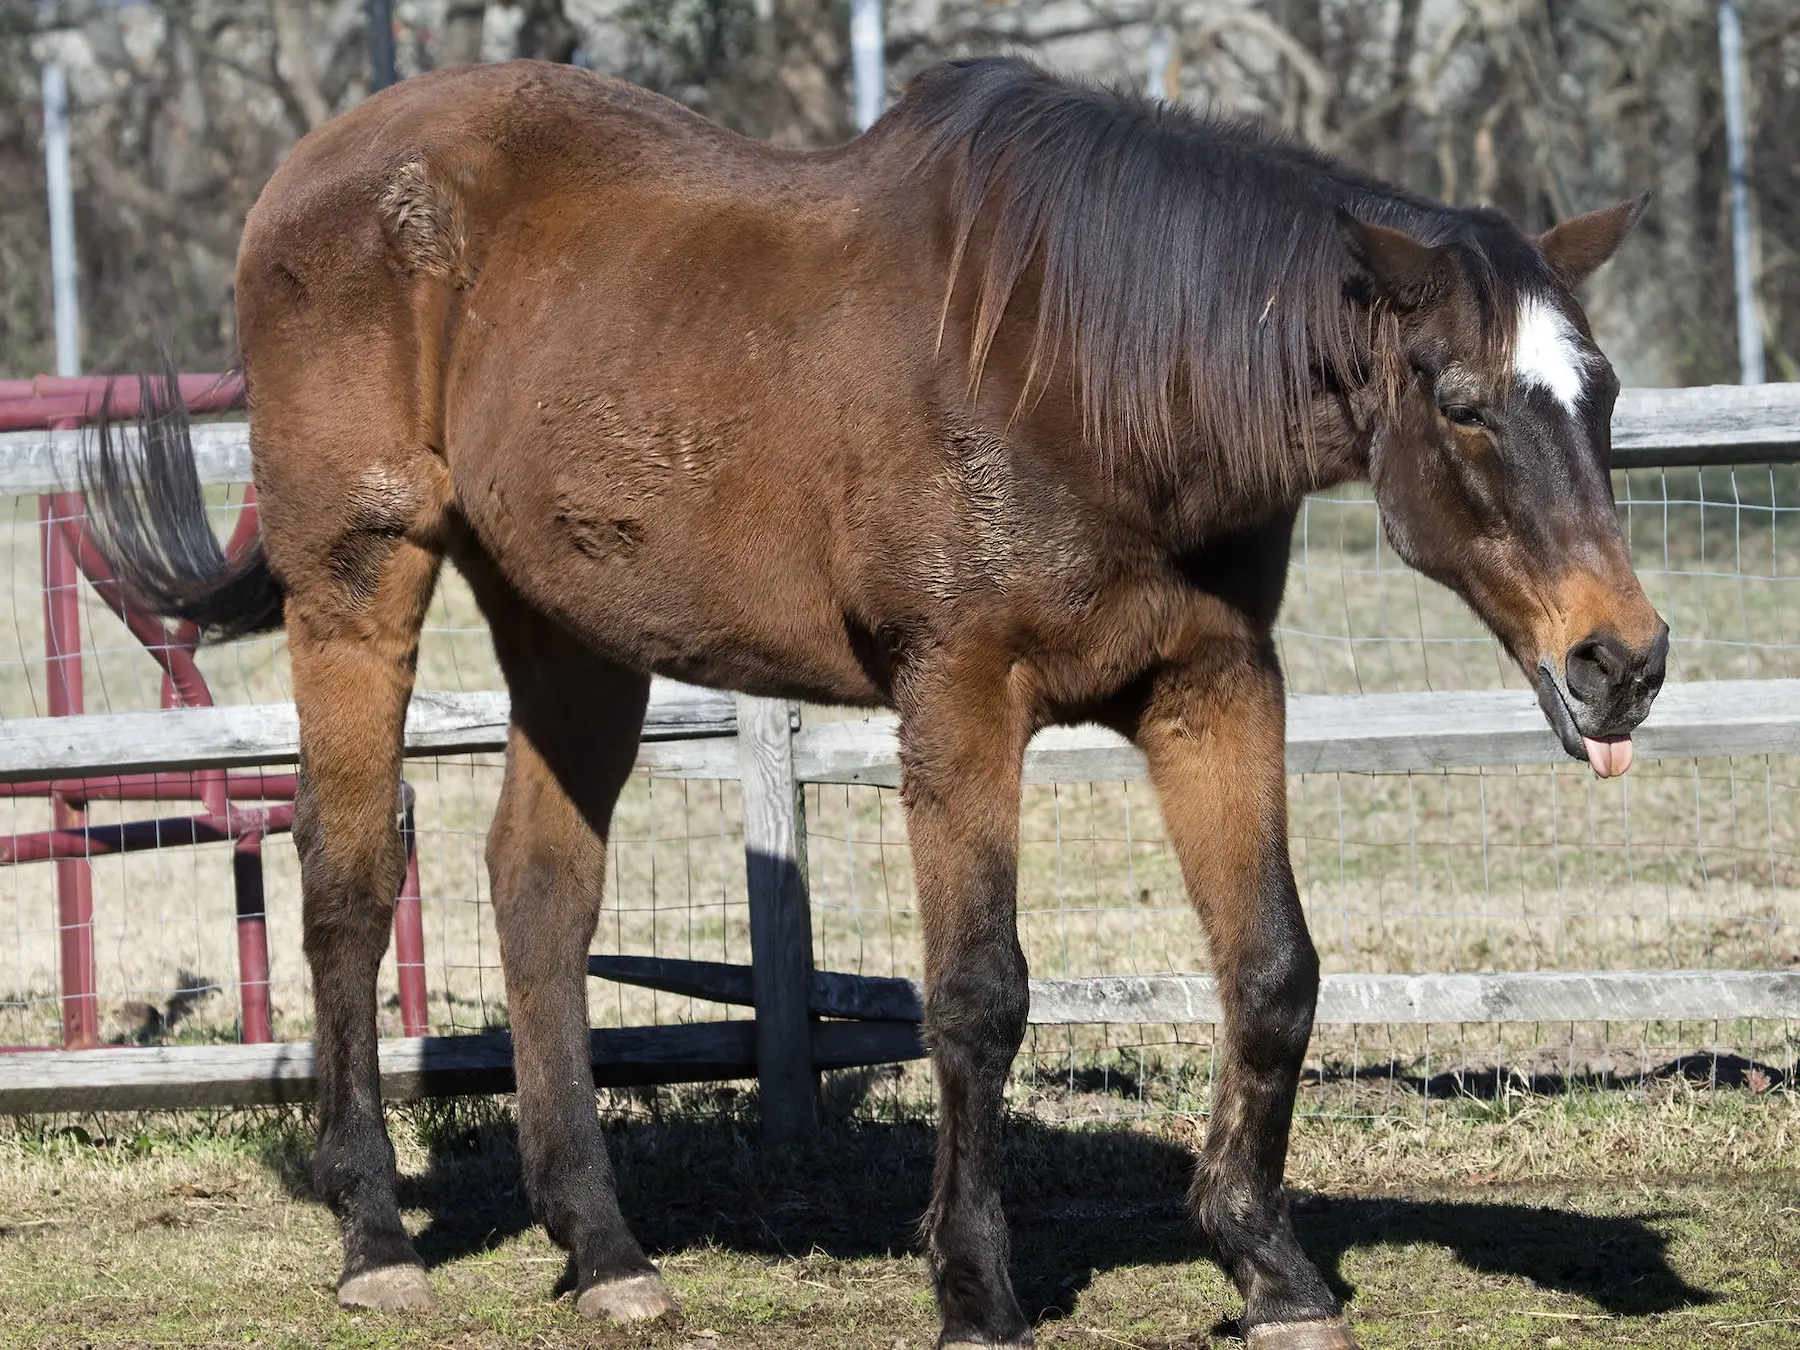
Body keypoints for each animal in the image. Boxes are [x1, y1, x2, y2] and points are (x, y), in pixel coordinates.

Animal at [84, 58, 1656, 1350]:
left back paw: (606, 1252)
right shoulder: (958, 696)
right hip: (358, 575)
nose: (1622, 661)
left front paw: (1271, 1268)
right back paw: (376, 1242)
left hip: (569, 623)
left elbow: (1272, 969)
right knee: (348, 884)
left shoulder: (1213, 689)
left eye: (1603, 395)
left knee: (540, 891)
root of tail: (312, 170)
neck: (1094, 371)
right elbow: (977, 994)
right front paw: (975, 1290)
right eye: (1461, 402)